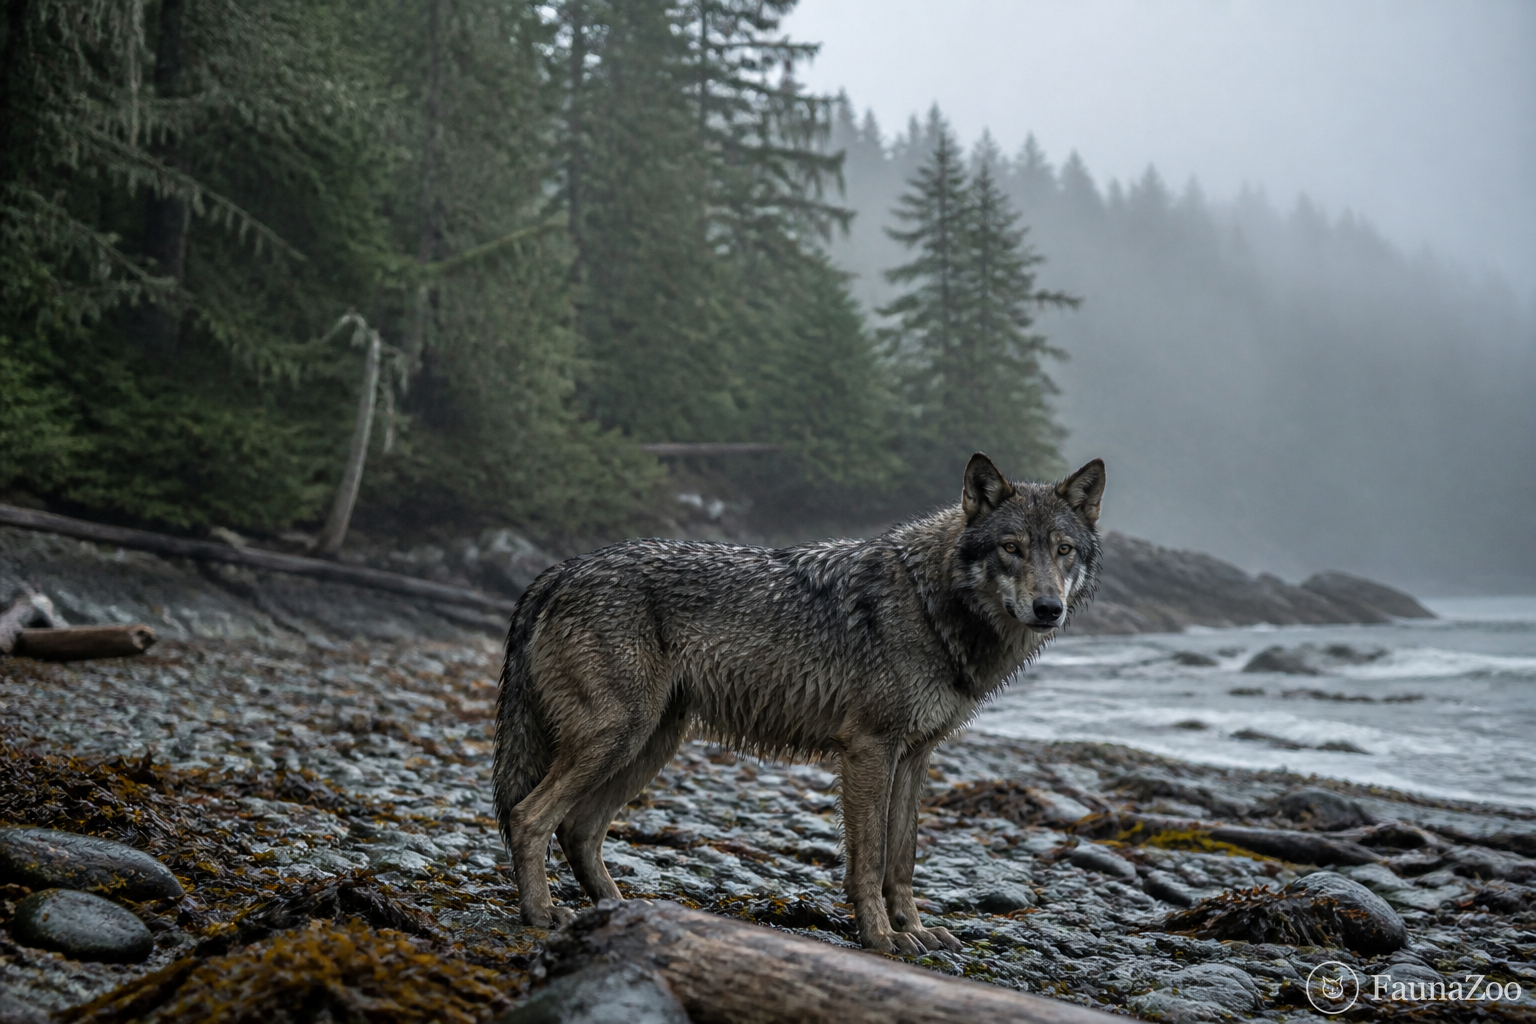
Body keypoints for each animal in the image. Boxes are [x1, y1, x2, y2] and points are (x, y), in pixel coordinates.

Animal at [493, 453, 1105, 953]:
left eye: (1063, 550)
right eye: (1011, 549)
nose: (1049, 608)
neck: (933, 606)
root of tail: (559, 570)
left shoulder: (915, 757)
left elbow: (903, 859)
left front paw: (915, 930)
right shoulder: (868, 750)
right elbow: (869, 860)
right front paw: (880, 937)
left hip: (650, 745)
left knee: (578, 830)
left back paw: (622, 911)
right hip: (619, 738)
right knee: (529, 817)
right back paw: (541, 912)